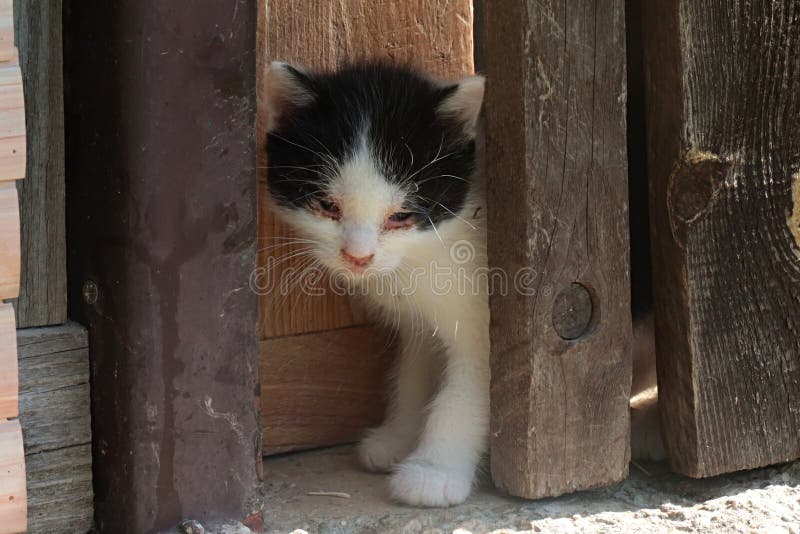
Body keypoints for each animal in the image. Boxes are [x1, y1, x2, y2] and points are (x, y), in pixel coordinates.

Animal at [262, 60, 664, 508]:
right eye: (327, 206)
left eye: (400, 216)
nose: (358, 256)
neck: (424, 256)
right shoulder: (420, 322)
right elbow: (413, 373)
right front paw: (397, 439)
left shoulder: (500, 325)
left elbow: (464, 394)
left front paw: (433, 473)